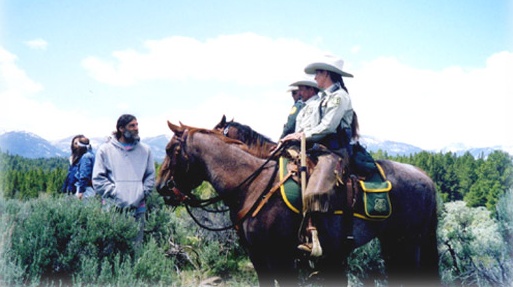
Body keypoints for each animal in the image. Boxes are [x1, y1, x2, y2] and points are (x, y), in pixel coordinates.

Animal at [158, 120, 438, 286]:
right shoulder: (258, 256)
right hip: (393, 244)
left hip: (409, 245)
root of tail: (425, 177)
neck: (254, 184)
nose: (161, 187)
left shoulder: (280, 257)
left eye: (171, 150)